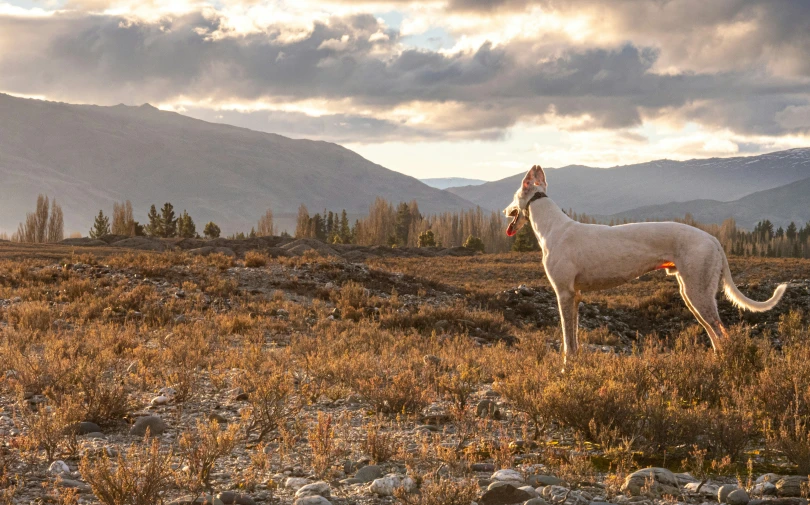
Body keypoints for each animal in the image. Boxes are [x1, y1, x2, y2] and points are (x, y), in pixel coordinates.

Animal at [502, 165, 784, 358]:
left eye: (514, 196)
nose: (505, 211)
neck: (553, 227)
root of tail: (714, 239)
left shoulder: (564, 293)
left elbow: (567, 339)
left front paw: (566, 368)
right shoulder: (575, 295)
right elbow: (573, 337)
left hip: (699, 294)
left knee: (723, 334)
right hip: (692, 294)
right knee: (716, 337)